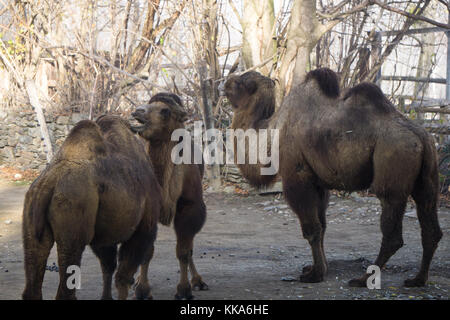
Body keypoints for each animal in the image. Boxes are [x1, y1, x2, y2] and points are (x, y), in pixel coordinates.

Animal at [223, 68, 442, 288]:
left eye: (240, 82)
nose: (224, 83)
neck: (272, 132)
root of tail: (422, 138)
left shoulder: (298, 177)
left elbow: (311, 229)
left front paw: (315, 275)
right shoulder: (319, 183)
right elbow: (323, 227)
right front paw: (317, 268)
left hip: (393, 166)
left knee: (392, 232)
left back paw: (363, 279)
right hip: (428, 176)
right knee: (430, 225)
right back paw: (417, 279)